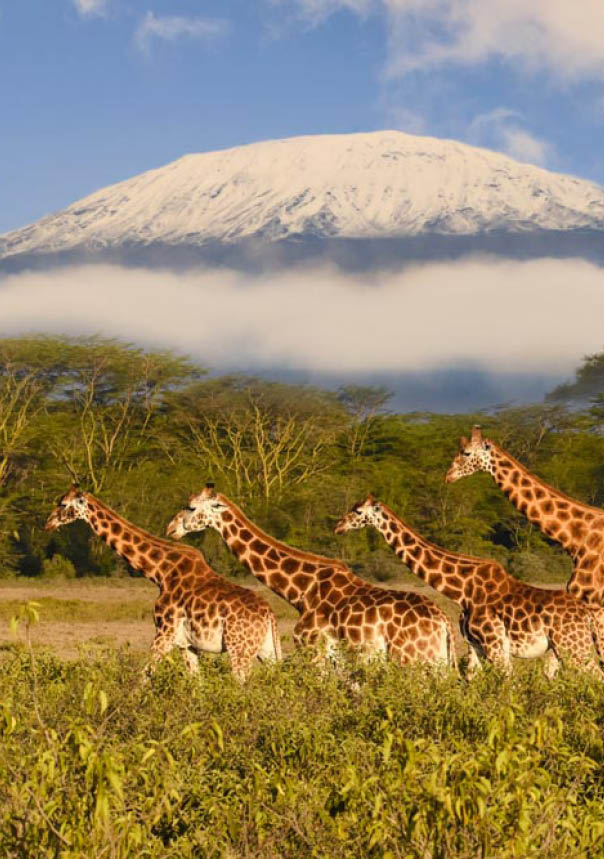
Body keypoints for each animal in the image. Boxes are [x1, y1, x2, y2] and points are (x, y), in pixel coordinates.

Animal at [44, 486, 281, 680]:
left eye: (63, 504)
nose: (48, 523)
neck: (160, 572)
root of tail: (269, 615)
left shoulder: (164, 633)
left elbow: (143, 676)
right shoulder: (187, 644)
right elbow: (196, 684)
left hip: (239, 649)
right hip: (266, 651)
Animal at [166, 485, 458, 669]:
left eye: (190, 507)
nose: (170, 529)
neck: (301, 590)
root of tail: (444, 622)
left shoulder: (312, 650)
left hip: (410, 660)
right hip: (436, 663)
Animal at [334, 494, 604, 676]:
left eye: (357, 511)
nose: (338, 526)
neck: (462, 590)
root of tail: (587, 614)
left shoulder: (494, 644)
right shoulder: (476, 647)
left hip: (572, 646)